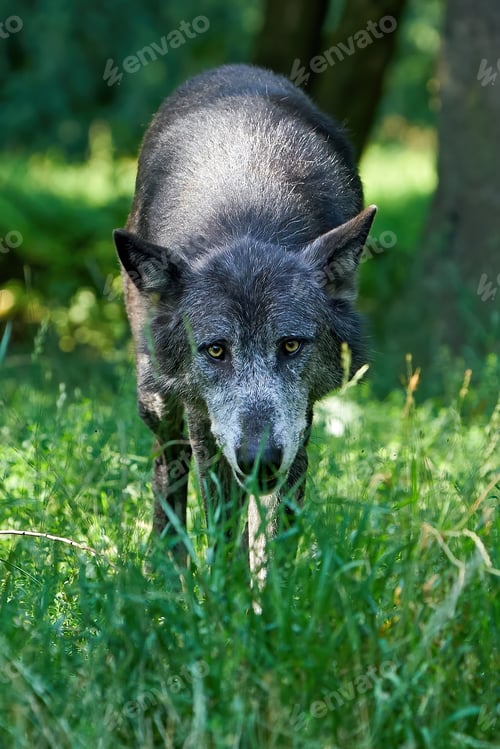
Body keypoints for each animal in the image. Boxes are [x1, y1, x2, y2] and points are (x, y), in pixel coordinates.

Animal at [113, 64, 376, 572]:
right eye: (216, 350)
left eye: (290, 345)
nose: (258, 459)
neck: (247, 218)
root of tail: (232, 69)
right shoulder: (203, 418)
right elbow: (221, 519)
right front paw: (224, 586)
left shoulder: (297, 424)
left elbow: (275, 529)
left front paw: (270, 590)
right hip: (156, 398)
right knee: (166, 466)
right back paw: (165, 568)